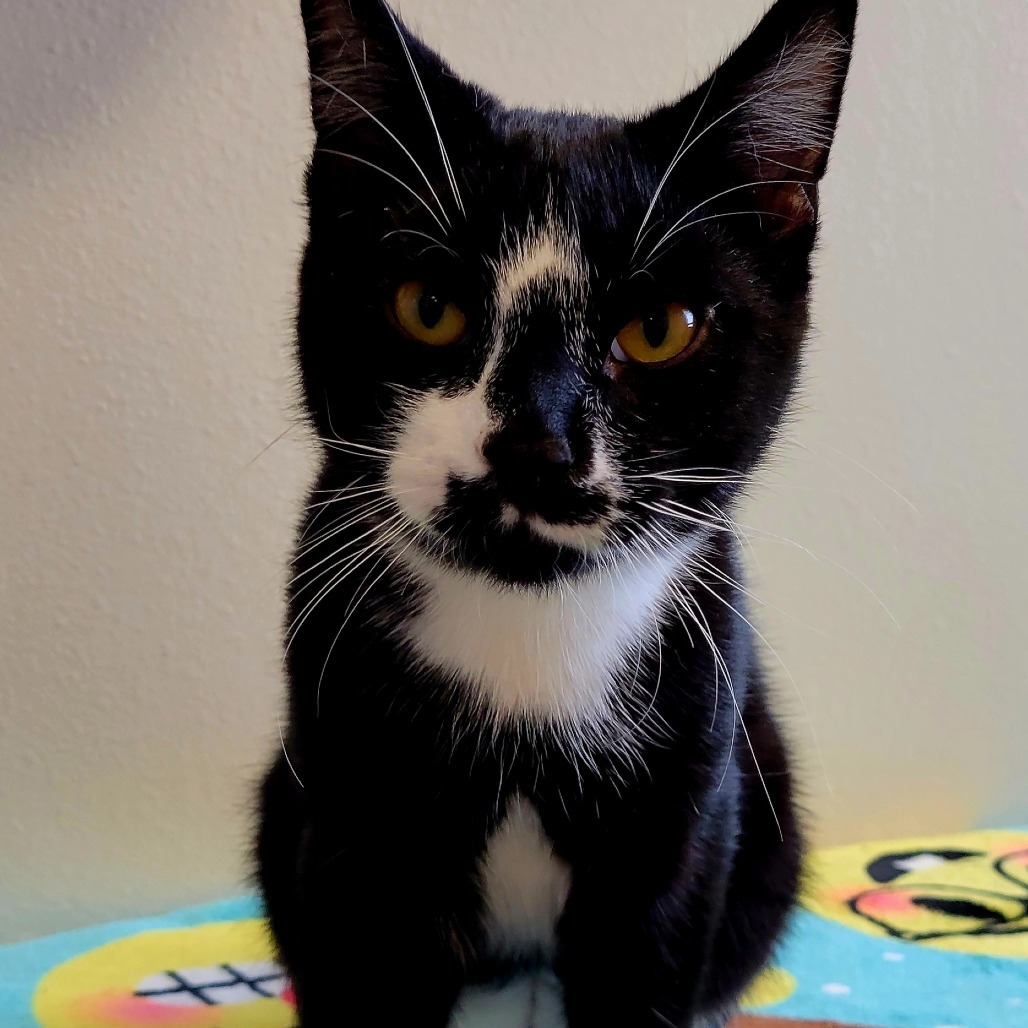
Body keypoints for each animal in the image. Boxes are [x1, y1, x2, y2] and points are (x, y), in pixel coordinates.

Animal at [257, 0, 859, 1023]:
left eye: (658, 331)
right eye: (428, 306)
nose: (535, 446)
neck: (528, 632)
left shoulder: (685, 806)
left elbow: (649, 957)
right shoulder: (349, 807)